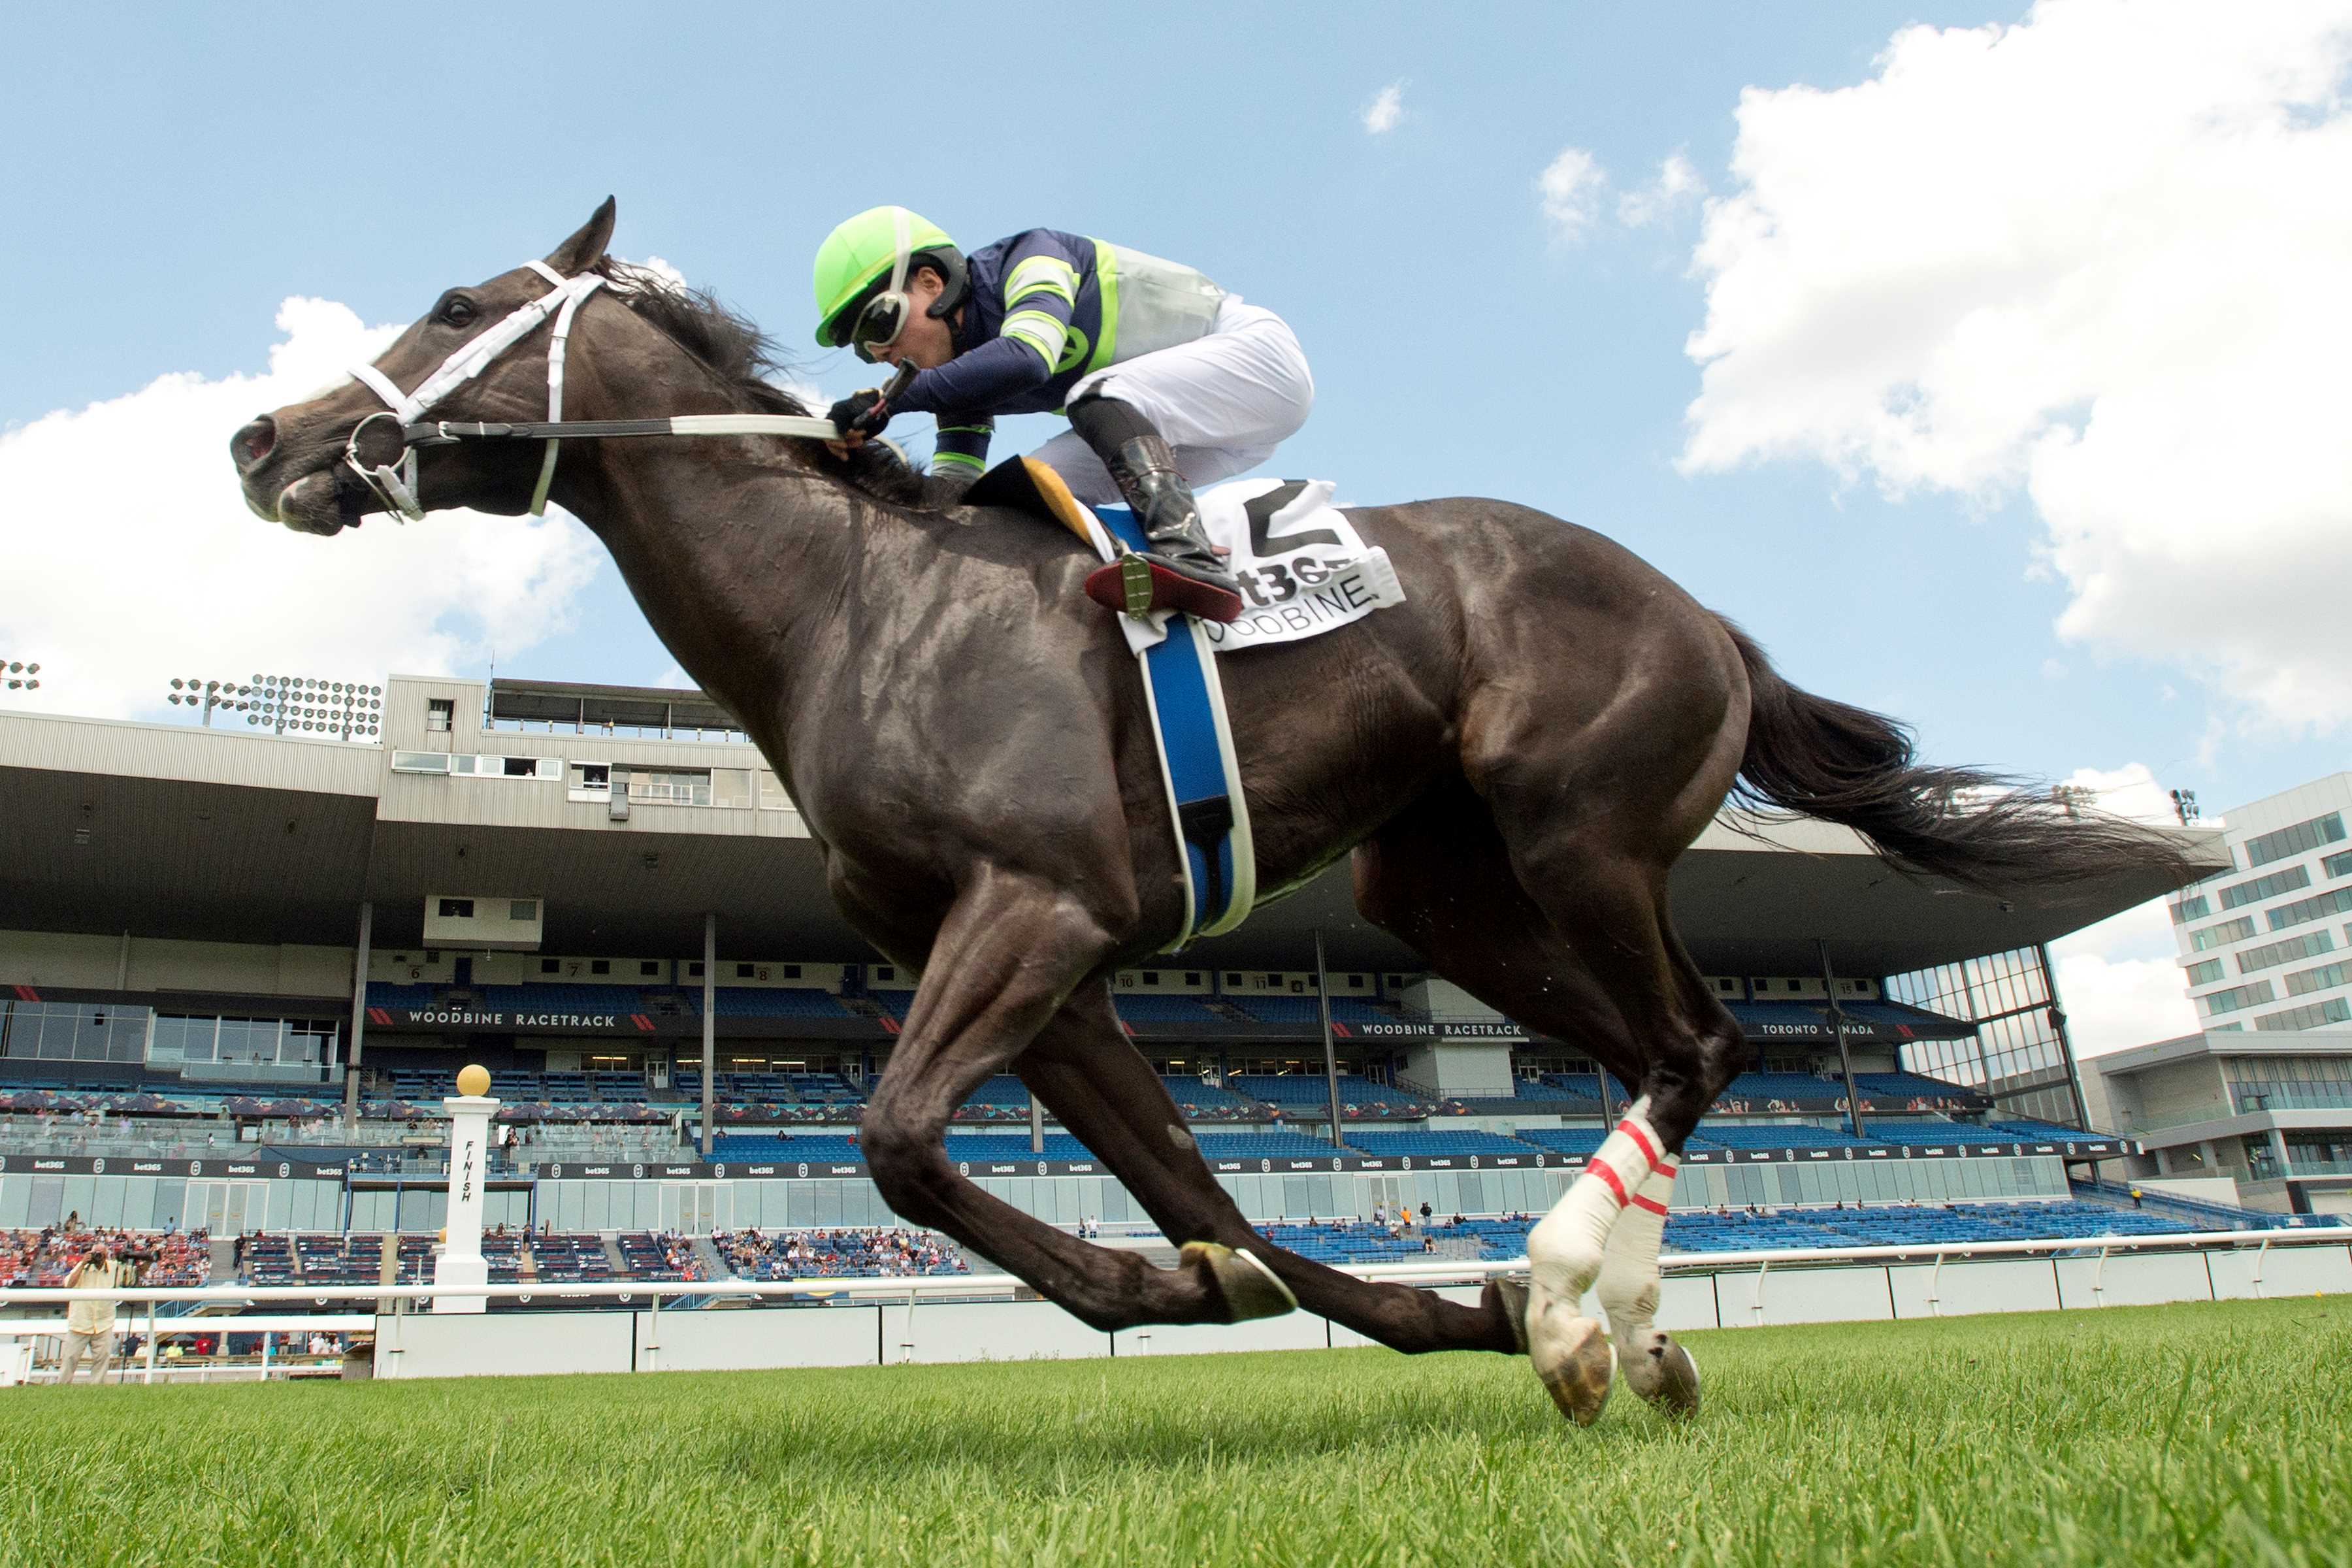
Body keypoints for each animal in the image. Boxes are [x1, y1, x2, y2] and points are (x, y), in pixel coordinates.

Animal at [229, 202, 2173, 1429]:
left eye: (459, 307)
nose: (262, 442)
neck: (850, 598)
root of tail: (1701, 614)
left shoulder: (1039, 911)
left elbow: (905, 1145)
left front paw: (1241, 1292)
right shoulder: (1054, 967)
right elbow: (1197, 1189)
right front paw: (1390, 1302)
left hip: (1581, 832)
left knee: (1701, 1042)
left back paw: (1570, 1291)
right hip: (1444, 894)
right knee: (1666, 1051)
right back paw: (1609, 1327)